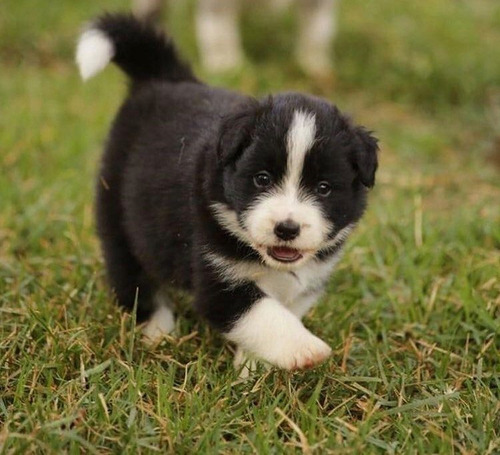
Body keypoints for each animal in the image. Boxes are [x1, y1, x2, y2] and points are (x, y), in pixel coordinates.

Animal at [76, 14, 376, 372]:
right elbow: (263, 314)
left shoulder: (307, 278)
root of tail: (163, 78)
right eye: (262, 179)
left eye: (324, 188)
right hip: (120, 214)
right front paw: (304, 349)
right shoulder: (217, 276)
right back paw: (157, 332)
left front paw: (253, 366)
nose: (286, 229)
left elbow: (283, 310)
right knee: (133, 278)